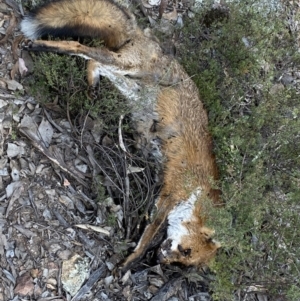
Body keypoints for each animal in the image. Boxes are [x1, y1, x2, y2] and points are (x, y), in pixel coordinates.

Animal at [21, 0, 221, 270]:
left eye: (183, 261)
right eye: (186, 250)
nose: (160, 260)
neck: (198, 189)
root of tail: (146, 34)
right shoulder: (169, 195)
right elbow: (148, 236)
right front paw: (131, 260)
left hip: (130, 86)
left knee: (93, 63)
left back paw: (91, 89)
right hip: (126, 67)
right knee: (80, 48)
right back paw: (41, 46)